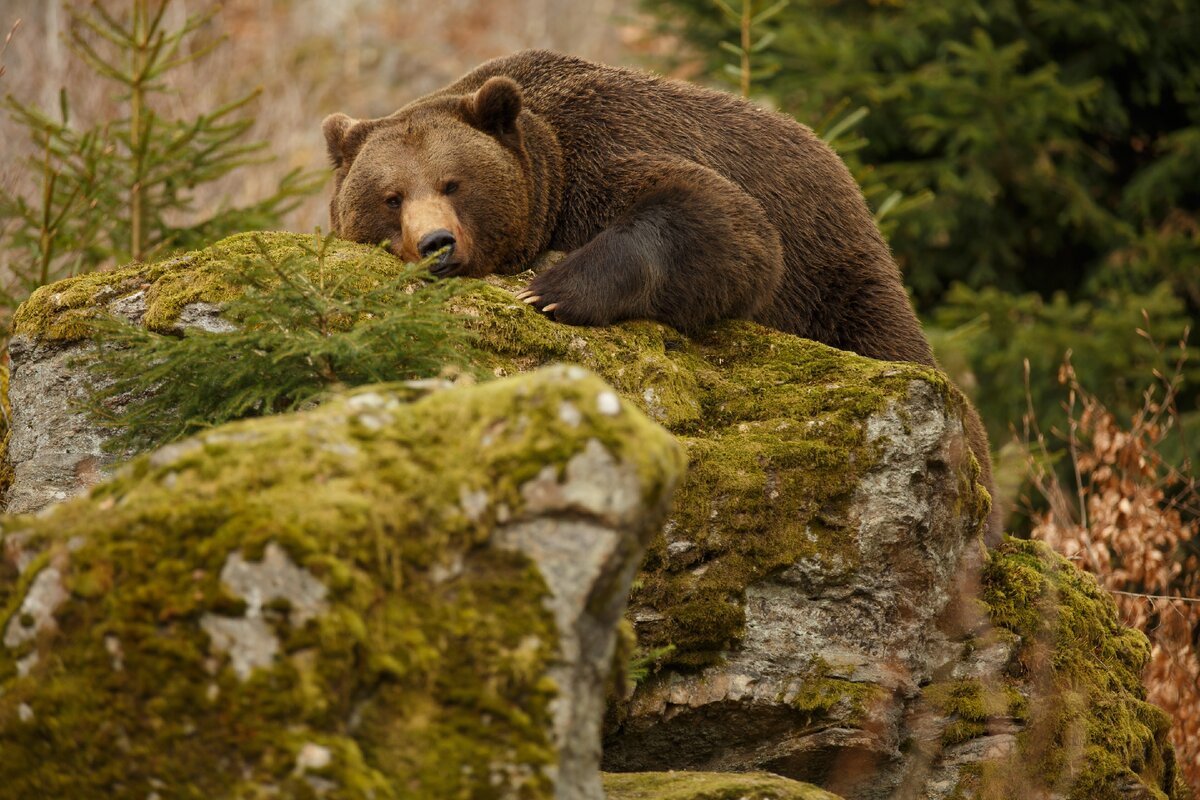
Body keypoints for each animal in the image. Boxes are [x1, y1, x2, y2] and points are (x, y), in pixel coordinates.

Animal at [321, 50, 1003, 544]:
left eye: (453, 183)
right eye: (390, 197)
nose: (436, 244)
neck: (547, 178)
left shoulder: (602, 154)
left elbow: (723, 222)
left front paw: (550, 290)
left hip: (834, 273)